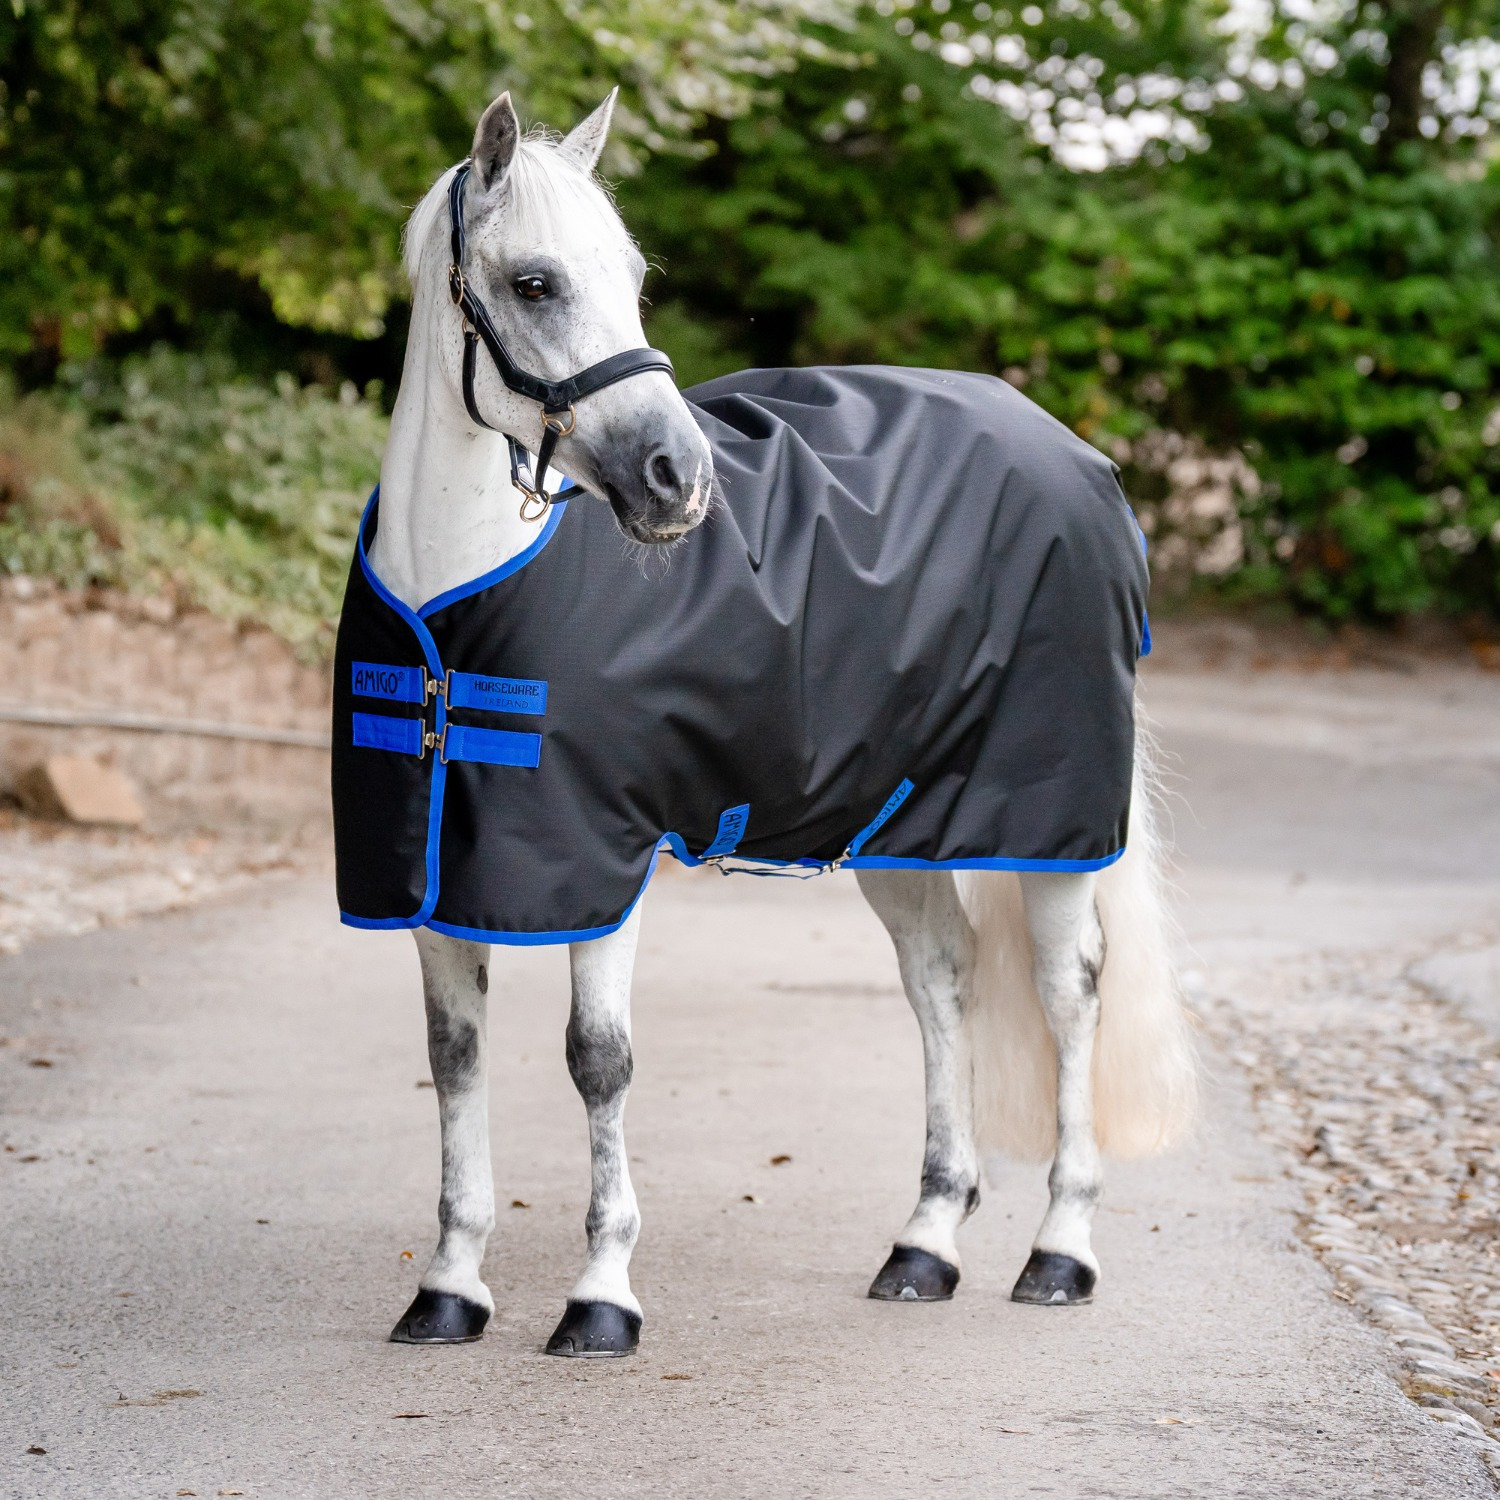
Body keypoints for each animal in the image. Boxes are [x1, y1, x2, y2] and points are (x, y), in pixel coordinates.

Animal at [352, 88, 1197, 1358]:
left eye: (633, 275)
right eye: (535, 282)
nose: (678, 478)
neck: (456, 609)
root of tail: (1080, 458)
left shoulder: (605, 864)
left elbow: (597, 1062)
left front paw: (601, 1298)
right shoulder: (438, 880)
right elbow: (454, 1062)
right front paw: (449, 1287)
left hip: (1050, 827)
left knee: (1069, 993)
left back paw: (1060, 1251)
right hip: (900, 827)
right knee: (941, 979)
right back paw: (925, 1245)